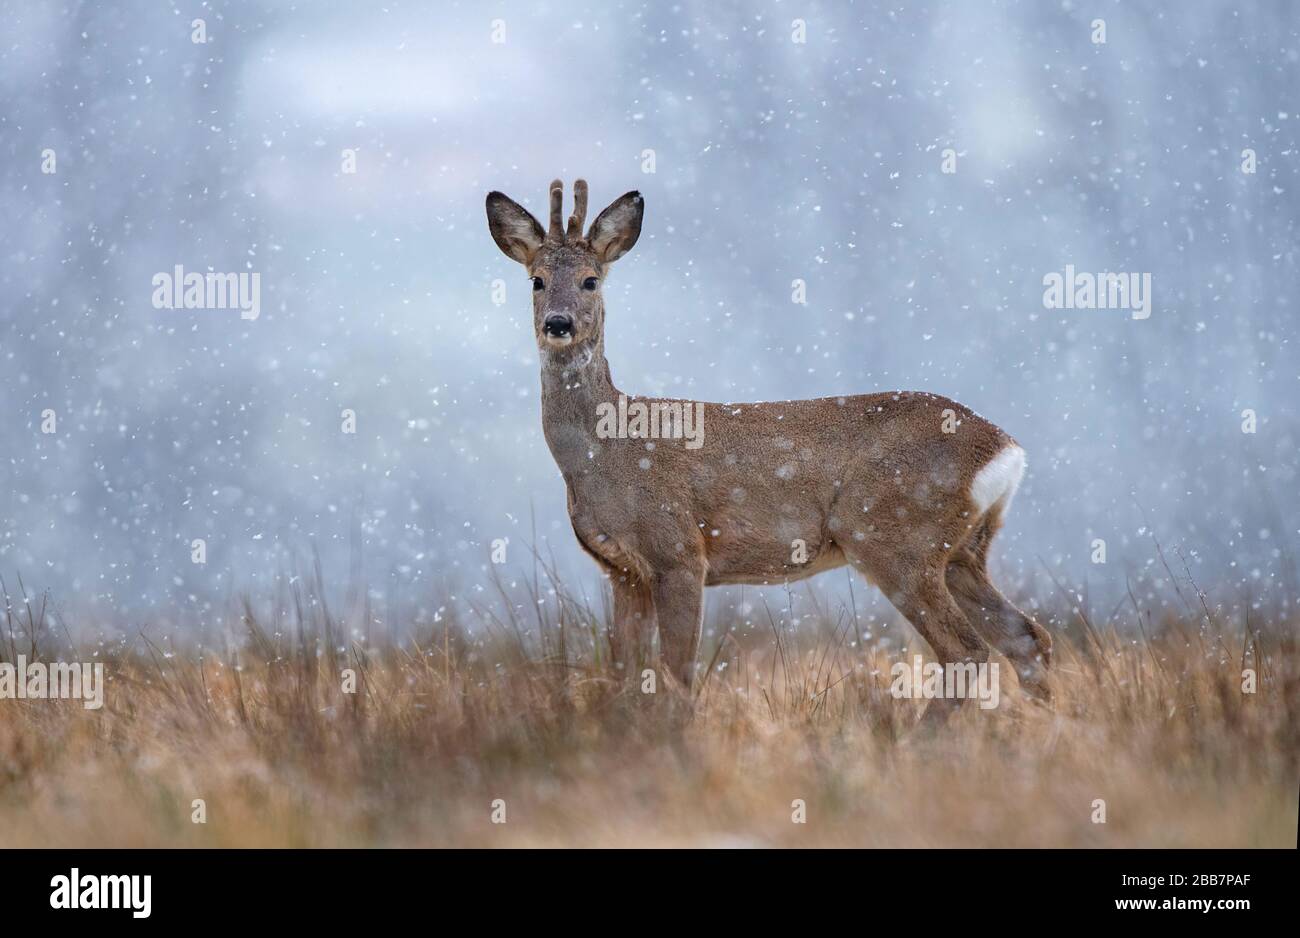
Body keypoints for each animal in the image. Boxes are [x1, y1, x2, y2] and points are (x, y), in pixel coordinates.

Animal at [488, 179, 1055, 711]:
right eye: (536, 280)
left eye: (591, 279)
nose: (558, 323)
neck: (605, 453)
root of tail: (1006, 448)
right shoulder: (622, 572)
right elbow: (624, 677)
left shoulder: (678, 551)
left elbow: (676, 677)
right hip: (962, 551)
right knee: (1028, 638)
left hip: (894, 534)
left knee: (967, 649)